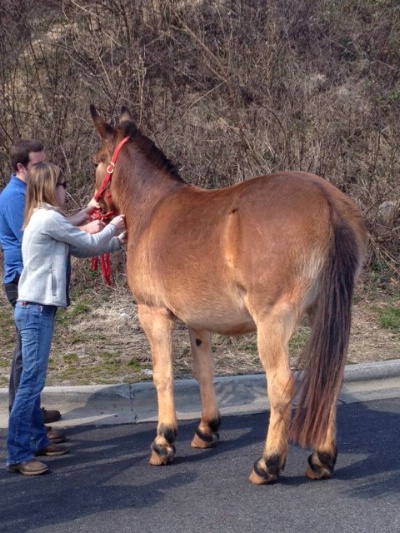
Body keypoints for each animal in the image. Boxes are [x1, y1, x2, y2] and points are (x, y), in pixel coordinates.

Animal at [89, 103, 368, 482]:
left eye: (97, 160)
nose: (96, 209)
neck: (154, 207)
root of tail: (327, 203)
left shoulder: (153, 313)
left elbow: (163, 375)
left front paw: (163, 442)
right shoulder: (197, 322)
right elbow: (204, 370)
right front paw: (207, 429)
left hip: (273, 323)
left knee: (282, 386)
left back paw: (268, 464)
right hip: (325, 315)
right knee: (330, 379)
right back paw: (321, 460)